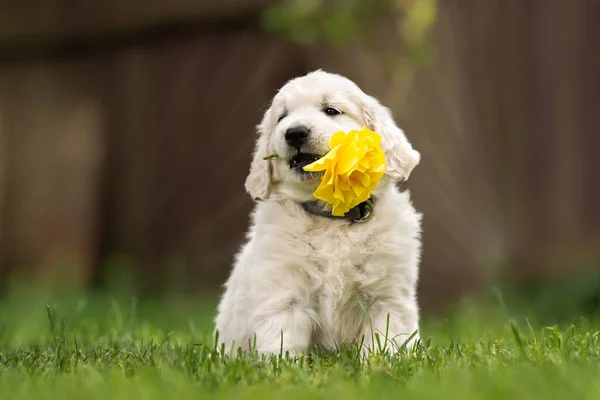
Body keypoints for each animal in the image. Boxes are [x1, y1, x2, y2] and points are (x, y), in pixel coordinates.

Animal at [214, 70, 422, 358]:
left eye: (331, 110)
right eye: (282, 117)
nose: (294, 133)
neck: (331, 218)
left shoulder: (387, 296)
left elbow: (384, 342)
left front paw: (378, 365)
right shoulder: (283, 293)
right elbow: (283, 344)